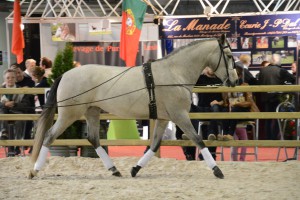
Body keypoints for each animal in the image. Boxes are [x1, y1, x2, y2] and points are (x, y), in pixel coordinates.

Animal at [29, 34, 238, 180]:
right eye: (228, 55)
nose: (235, 81)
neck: (174, 73)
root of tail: (65, 74)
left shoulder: (164, 118)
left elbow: (154, 145)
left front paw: (135, 169)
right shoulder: (179, 116)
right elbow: (198, 140)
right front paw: (217, 170)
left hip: (92, 112)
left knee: (94, 139)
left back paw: (114, 170)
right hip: (69, 114)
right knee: (49, 136)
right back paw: (34, 171)